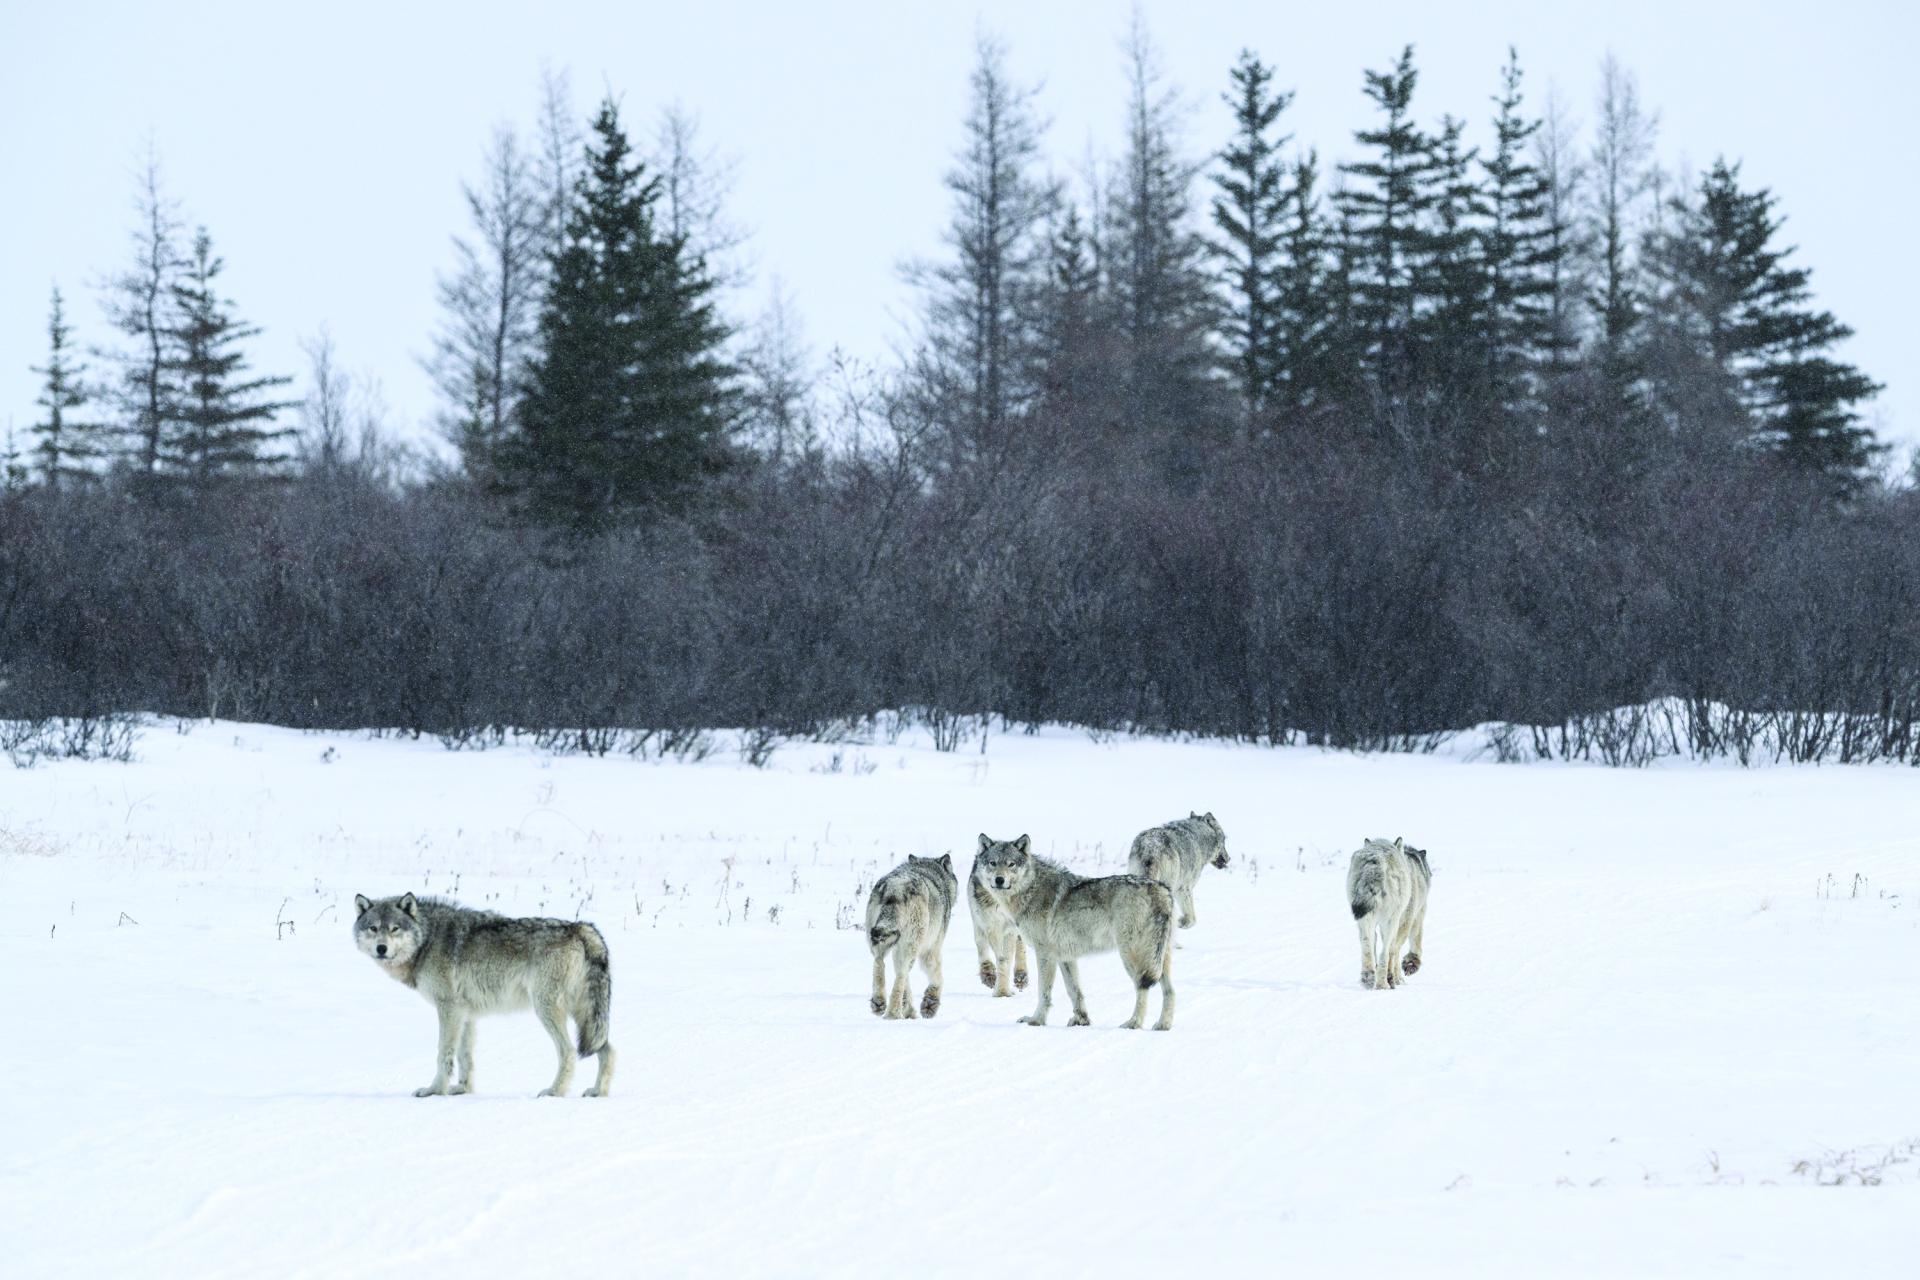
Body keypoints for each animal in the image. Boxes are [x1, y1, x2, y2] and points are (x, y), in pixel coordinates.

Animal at [353, 892, 615, 1097]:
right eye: (373, 928)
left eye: (394, 929)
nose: (381, 948)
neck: (427, 939)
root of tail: (582, 927)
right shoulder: (464, 1013)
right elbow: (464, 1056)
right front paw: (462, 1089)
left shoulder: (448, 1008)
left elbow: (443, 1054)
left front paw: (435, 1090)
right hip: (587, 1018)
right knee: (607, 1049)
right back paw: (597, 1092)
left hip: (547, 1009)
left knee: (569, 1051)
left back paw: (554, 1091)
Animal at [866, 854, 958, 1019]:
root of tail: (896, 887)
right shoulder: (931, 949)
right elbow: (938, 977)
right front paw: (930, 1004)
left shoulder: (898, 950)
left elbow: (906, 983)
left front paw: (909, 1010)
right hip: (912, 946)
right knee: (901, 975)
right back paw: (894, 1014)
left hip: (880, 941)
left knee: (880, 963)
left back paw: (879, 1003)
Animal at [968, 847, 1030, 997]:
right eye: (993, 863)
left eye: (1011, 864)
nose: (1000, 880)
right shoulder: (987, 925)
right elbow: (991, 953)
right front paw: (992, 980)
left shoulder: (1010, 929)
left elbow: (1007, 958)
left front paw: (1003, 991)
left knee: (1020, 946)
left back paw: (1021, 976)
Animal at [1346, 838, 1431, 990]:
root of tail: (1376, 859)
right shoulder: (1414, 916)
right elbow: (1407, 945)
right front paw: (1403, 972)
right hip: (1391, 920)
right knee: (1385, 952)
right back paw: (1383, 983)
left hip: (1364, 919)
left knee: (1367, 944)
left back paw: (1368, 978)